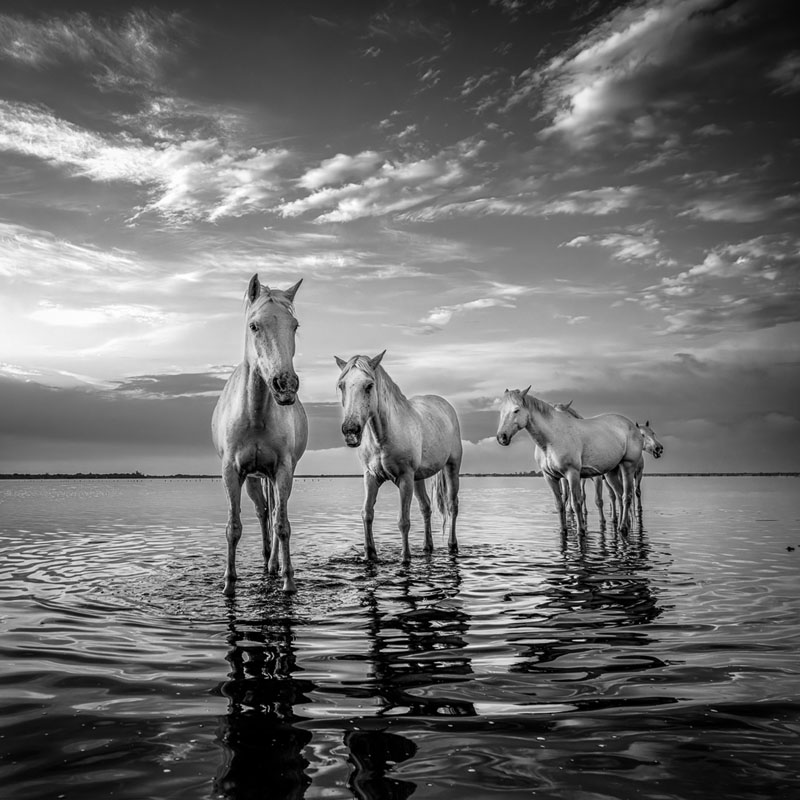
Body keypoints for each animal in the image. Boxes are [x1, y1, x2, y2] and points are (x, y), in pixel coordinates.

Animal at [212, 274, 308, 594]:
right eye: (254, 326)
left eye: (294, 326)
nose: (285, 385)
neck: (254, 416)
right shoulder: (232, 472)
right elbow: (234, 528)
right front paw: (229, 584)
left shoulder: (283, 470)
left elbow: (283, 525)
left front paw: (288, 581)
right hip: (255, 478)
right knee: (263, 512)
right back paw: (266, 559)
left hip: (272, 476)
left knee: (274, 512)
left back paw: (273, 564)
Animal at [334, 351, 462, 562]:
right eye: (341, 386)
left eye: (369, 386)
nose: (351, 431)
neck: (382, 438)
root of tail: (445, 405)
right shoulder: (371, 477)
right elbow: (367, 513)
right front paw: (370, 555)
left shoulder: (404, 478)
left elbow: (403, 521)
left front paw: (405, 558)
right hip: (418, 478)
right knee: (426, 507)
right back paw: (427, 547)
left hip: (451, 467)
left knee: (452, 505)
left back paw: (452, 545)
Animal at [496, 387, 642, 534]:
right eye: (501, 411)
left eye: (516, 410)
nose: (502, 437)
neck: (551, 440)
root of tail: (630, 424)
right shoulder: (550, 477)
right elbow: (559, 504)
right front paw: (562, 530)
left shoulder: (572, 474)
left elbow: (576, 503)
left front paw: (581, 531)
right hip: (611, 472)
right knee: (619, 494)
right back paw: (623, 524)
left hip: (628, 466)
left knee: (627, 496)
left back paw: (623, 527)